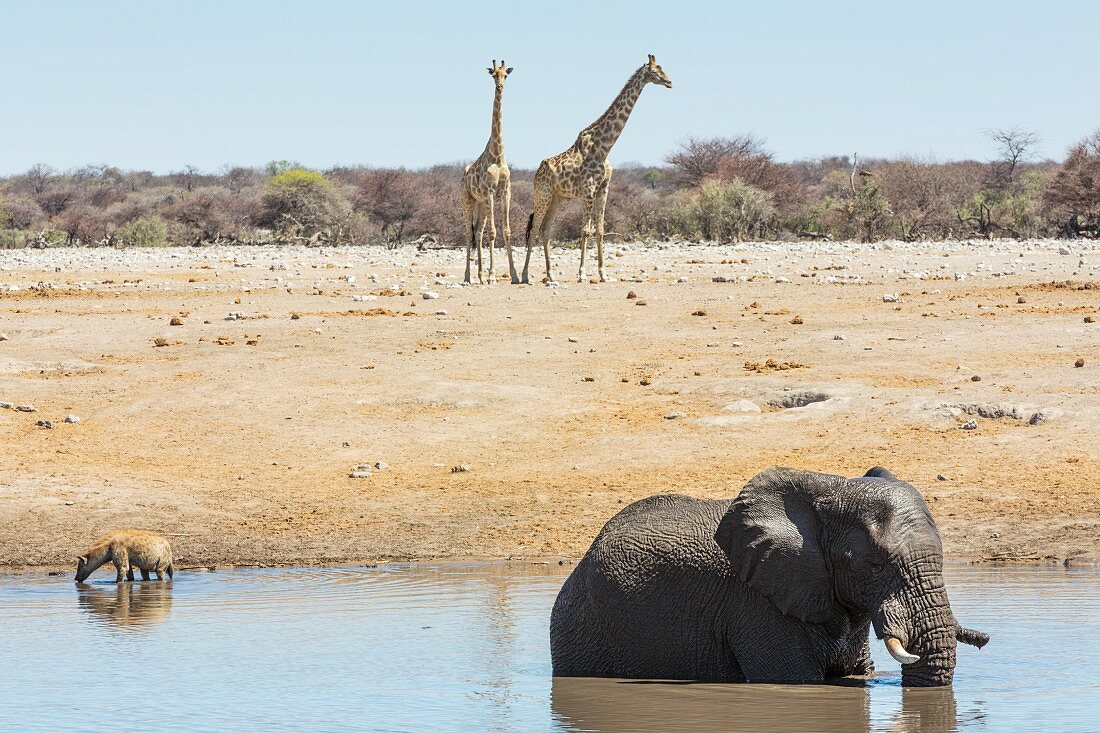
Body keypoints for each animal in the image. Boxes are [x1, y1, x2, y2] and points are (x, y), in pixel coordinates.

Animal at [459, 59, 519, 283]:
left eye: (506, 75)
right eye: (493, 74)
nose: (500, 86)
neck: (498, 153)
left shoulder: (506, 192)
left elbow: (506, 231)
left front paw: (515, 275)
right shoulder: (491, 193)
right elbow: (493, 232)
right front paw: (493, 275)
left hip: (482, 203)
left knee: (478, 231)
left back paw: (480, 275)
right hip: (469, 199)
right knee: (469, 232)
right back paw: (469, 276)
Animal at [521, 53, 668, 281]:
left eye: (663, 68)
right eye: (654, 71)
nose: (669, 82)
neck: (604, 146)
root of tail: (537, 173)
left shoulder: (603, 189)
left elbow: (599, 230)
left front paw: (603, 273)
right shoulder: (589, 190)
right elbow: (585, 230)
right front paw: (582, 273)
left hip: (557, 198)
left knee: (545, 230)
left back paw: (551, 275)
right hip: (542, 195)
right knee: (535, 229)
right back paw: (525, 275)